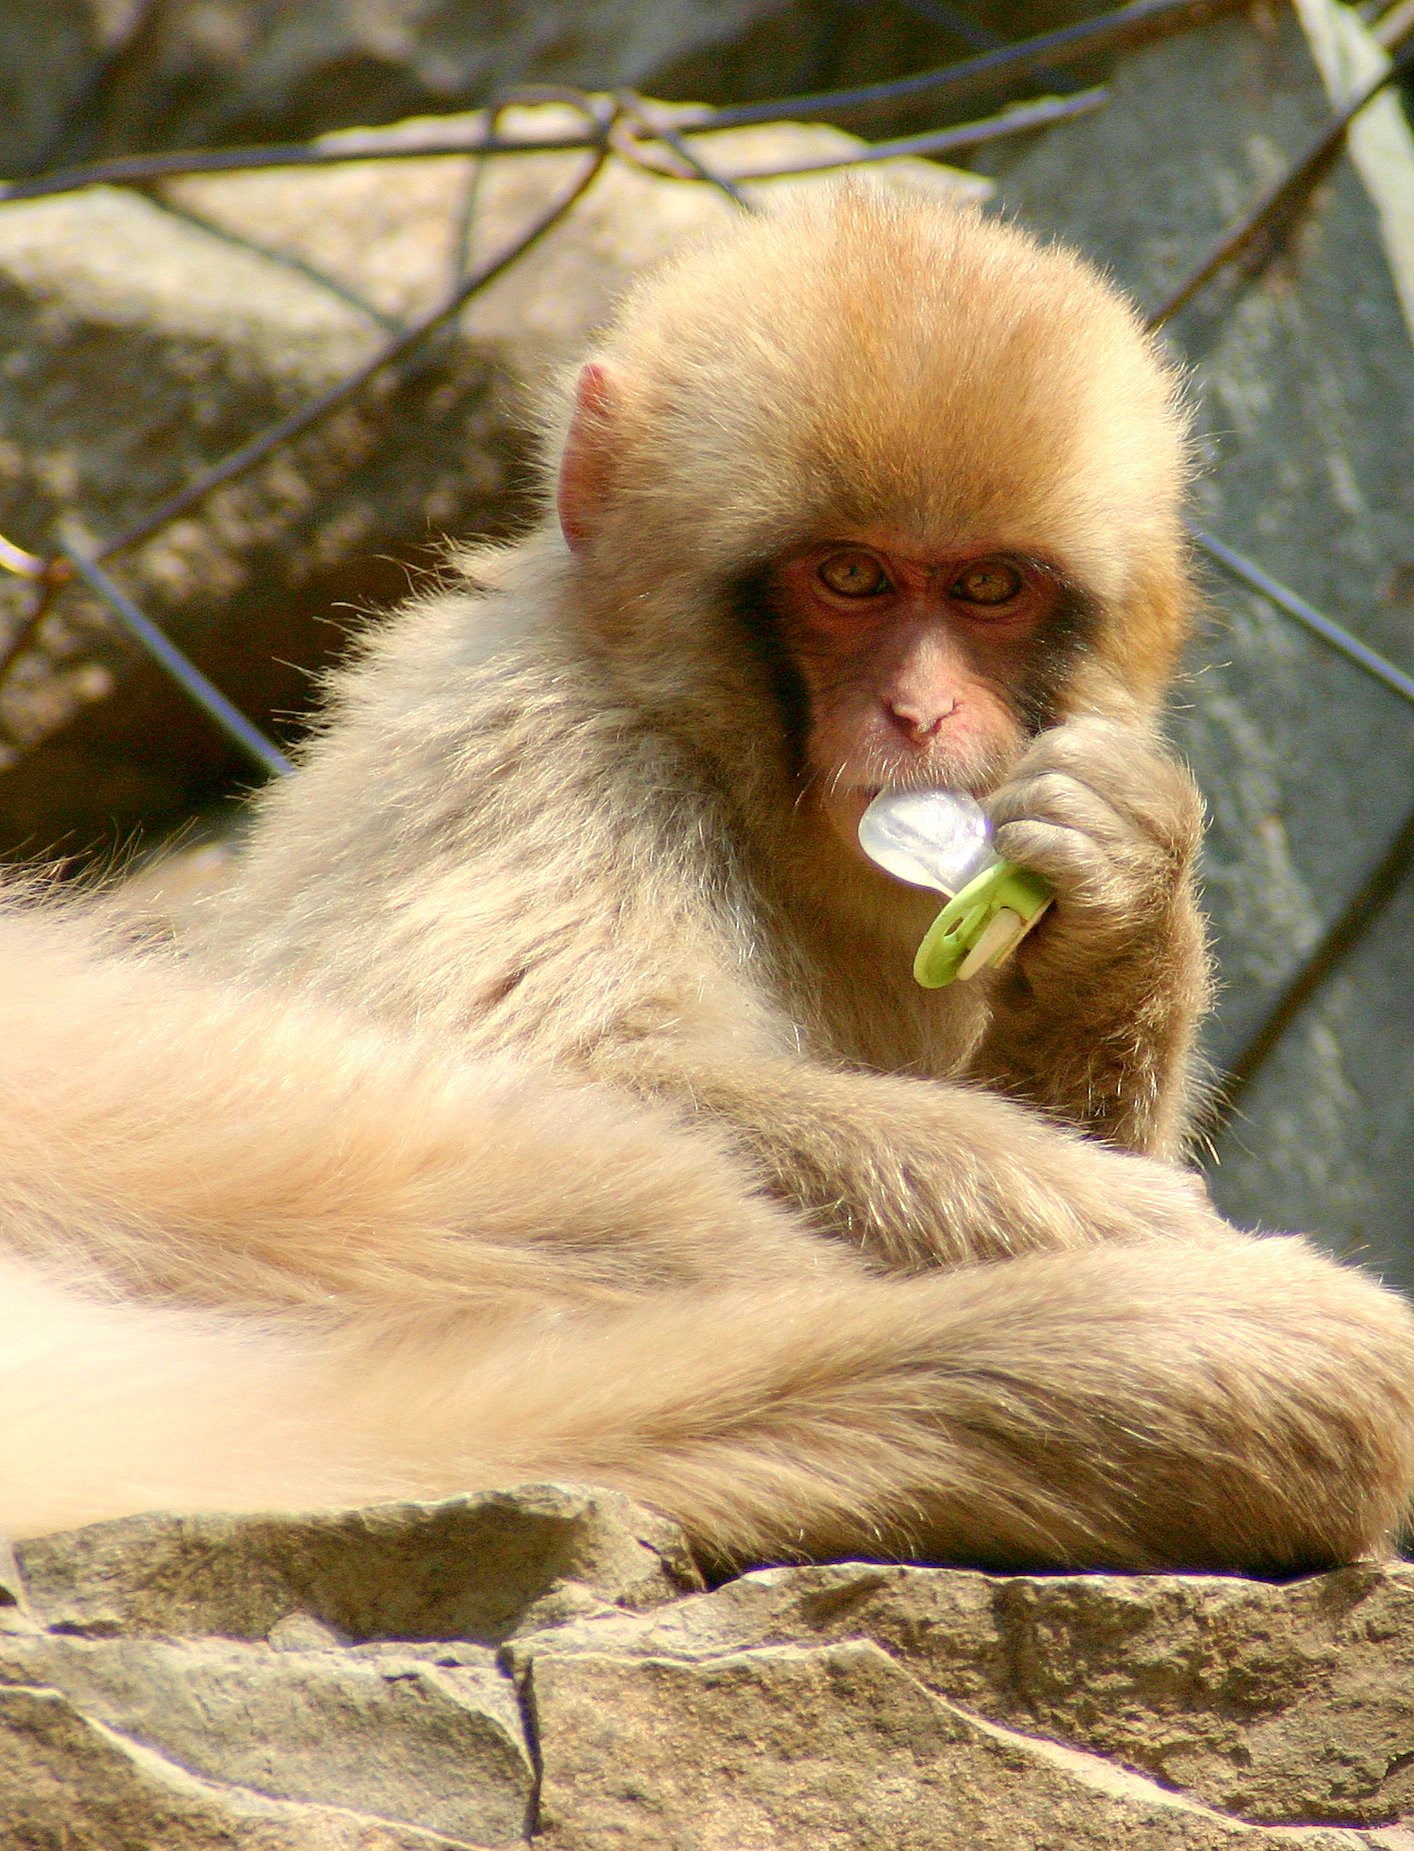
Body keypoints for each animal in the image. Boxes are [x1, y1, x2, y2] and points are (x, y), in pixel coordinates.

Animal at [0, 183, 1411, 1574]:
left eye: (989, 588)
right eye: (849, 577)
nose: (919, 714)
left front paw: (1122, 897)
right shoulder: (532, 756)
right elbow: (563, 1067)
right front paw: (1108, 1228)